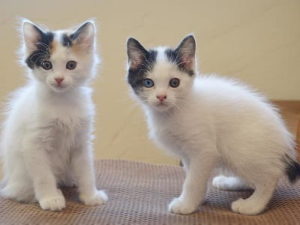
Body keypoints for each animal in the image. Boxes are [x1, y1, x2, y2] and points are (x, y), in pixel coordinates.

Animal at [0, 19, 108, 211]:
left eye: (71, 65)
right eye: (46, 65)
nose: (58, 79)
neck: (63, 101)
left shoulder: (81, 142)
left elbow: (86, 172)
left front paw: (90, 196)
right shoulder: (33, 144)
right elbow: (44, 176)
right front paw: (50, 198)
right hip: (20, 175)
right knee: (19, 190)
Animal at [126, 34, 300, 214]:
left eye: (174, 82)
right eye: (148, 83)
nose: (161, 97)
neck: (174, 111)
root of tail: (285, 144)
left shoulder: (204, 151)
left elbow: (193, 180)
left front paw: (186, 205)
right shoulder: (187, 154)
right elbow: (193, 175)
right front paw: (198, 199)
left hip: (241, 148)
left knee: (270, 176)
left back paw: (252, 205)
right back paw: (228, 182)